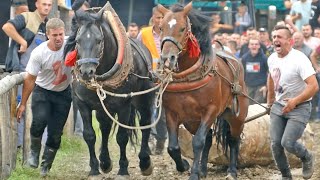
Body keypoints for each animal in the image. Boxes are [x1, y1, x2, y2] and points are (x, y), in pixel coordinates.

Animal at [64, 1, 155, 179]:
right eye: (77, 40)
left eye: (99, 40)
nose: (86, 72)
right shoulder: (82, 103)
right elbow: (89, 134)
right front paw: (95, 168)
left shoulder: (124, 105)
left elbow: (122, 137)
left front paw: (123, 169)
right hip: (103, 107)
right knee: (105, 127)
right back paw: (105, 162)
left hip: (143, 98)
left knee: (145, 122)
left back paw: (144, 161)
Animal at [158, 2, 250, 180]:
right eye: (161, 27)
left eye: (182, 28)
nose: (167, 58)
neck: (189, 76)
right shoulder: (172, 112)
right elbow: (173, 147)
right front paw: (185, 166)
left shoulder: (210, 111)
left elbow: (198, 142)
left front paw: (194, 174)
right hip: (192, 121)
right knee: (208, 138)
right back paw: (203, 169)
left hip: (237, 115)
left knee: (233, 140)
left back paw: (232, 171)